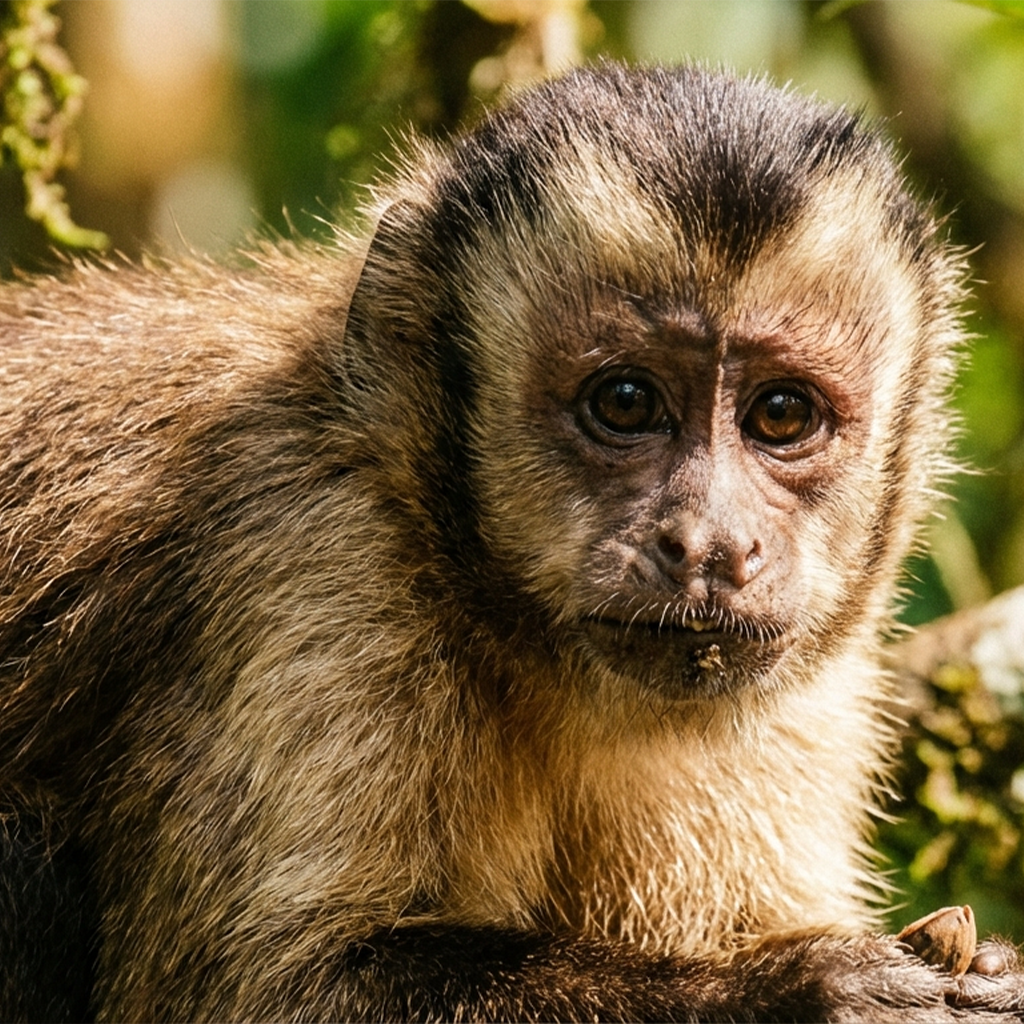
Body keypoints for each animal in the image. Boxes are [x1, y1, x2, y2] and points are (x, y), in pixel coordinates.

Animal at [2, 61, 1024, 1023]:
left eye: (782, 415)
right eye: (626, 402)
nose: (709, 545)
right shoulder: (309, 556)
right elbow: (261, 990)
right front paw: (805, 990)